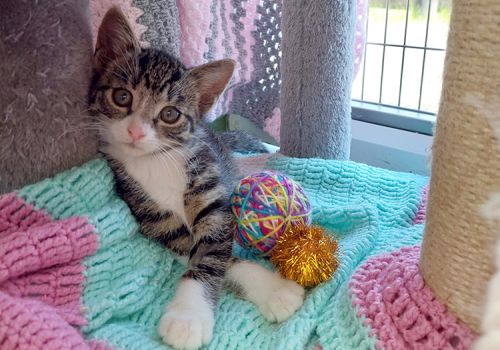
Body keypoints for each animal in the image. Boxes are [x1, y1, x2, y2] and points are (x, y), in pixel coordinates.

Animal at [88, 8, 302, 350]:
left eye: (170, 114)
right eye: (121, 97)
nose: (136, 131)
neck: (155, 161)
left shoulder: (208, 184)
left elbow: (212, 252)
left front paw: (271, 290)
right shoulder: (149, 213)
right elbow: (201, 251)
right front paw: (188, 317)